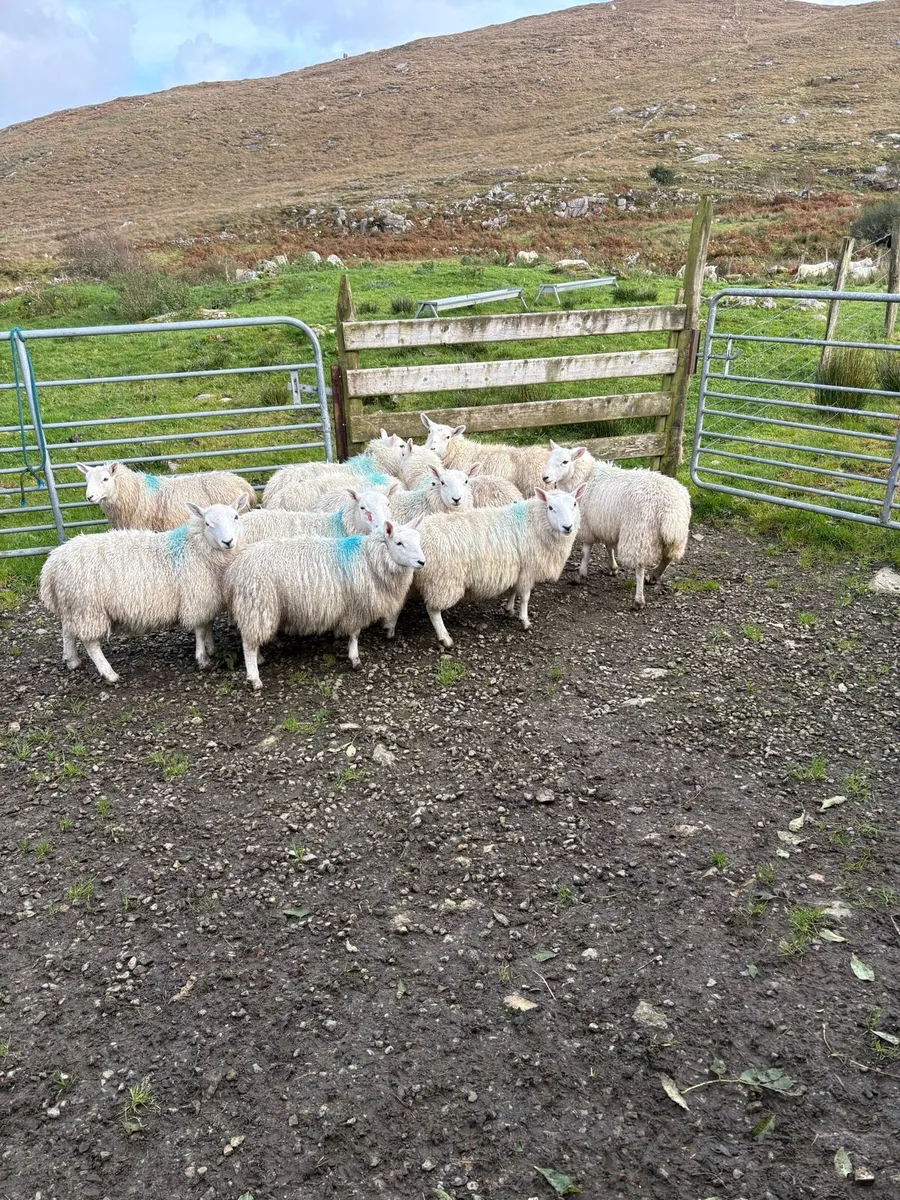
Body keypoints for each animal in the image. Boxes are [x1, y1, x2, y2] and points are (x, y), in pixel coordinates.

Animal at [39, 496, 249, 682]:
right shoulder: (196, 597)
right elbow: (200, 629)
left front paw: (211, 648)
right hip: (88, 607)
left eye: (236, 517)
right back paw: (109, 673)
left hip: (72, 604)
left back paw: (72, 660)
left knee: (67, 630)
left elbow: (208, 625)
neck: (195, 547)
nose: (228, 541)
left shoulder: (209, 596)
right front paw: (203, 659)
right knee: (91, 643)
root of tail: (52, 564)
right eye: (207, 523)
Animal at [224, 519, 426, 687]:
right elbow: (354, 635)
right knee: (248, 644)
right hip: (258, 604)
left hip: (255, 609)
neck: (369, 559)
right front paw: (355, 659)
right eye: (399, 543)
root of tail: (235, 569)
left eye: (418, 540)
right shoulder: (356, 607)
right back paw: (254, 678)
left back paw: (260, 659)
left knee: (250, 638)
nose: (422, 562)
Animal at [416, 488, 584, 648]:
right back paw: (445, 639)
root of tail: (420, 534)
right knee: (433, 611)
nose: (568, 527)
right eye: (551, 507)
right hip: (442, 581)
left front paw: (509, 609)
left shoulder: (517, 568)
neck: (534, 523)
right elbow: (525, 597)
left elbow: (513, 590)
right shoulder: (528, 570)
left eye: (575, 504)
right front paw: (525, 621)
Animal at [541, 443, 691, 609]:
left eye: (565, 461)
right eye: (549, 458)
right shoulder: (607, 524)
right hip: (673, 536)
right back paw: (654, 576)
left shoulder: (587, 526)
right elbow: (609, 546)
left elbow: (585, 552)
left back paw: (639, 599)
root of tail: (671, 507)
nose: (545, 478)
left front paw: (581, 575)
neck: (586, 476)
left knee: (640, 567)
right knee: (668, 557)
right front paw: (612, 568)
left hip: (639, 533)